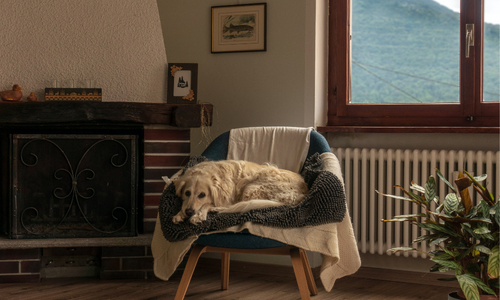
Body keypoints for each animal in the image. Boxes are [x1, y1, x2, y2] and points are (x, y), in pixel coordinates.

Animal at [174, 161, 310, 224]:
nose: (189, 212)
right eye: (187, 193)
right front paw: (179, 214)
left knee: (238, 206)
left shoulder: (226, 200)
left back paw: (215, 209)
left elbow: (207, 204)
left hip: (251, 186)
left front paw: (198, 215)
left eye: (202, 195)